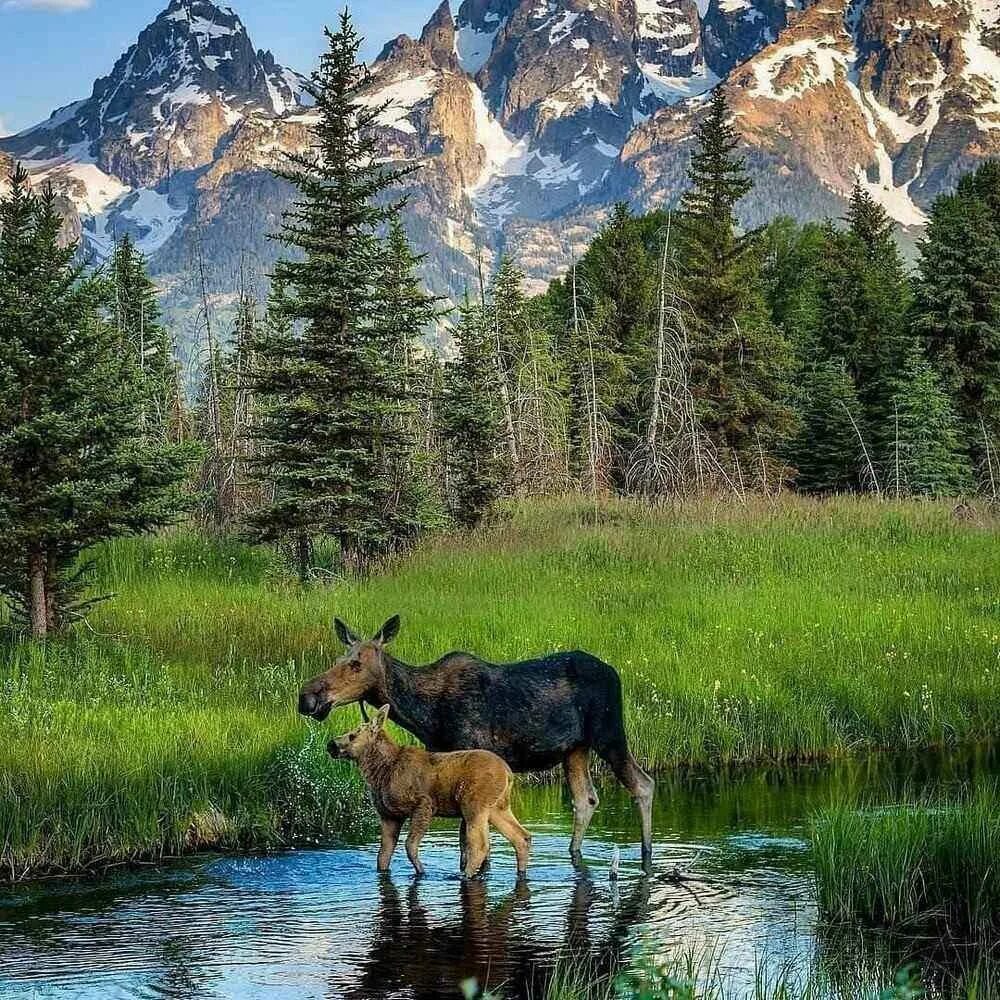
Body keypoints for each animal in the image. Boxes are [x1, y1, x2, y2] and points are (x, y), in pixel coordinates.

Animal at [328, 700, 532, 880]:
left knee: (480, 845)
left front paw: (422, 872)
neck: (380, 772)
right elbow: (382, 856)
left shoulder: (423, 804)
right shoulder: (389, 815)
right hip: (497, 807)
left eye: (353, 735)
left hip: (474, 805)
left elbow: (410, 846)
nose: (331, 745)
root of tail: (508, 773)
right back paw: (520, 872)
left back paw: (465, 876)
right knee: (521, 837)